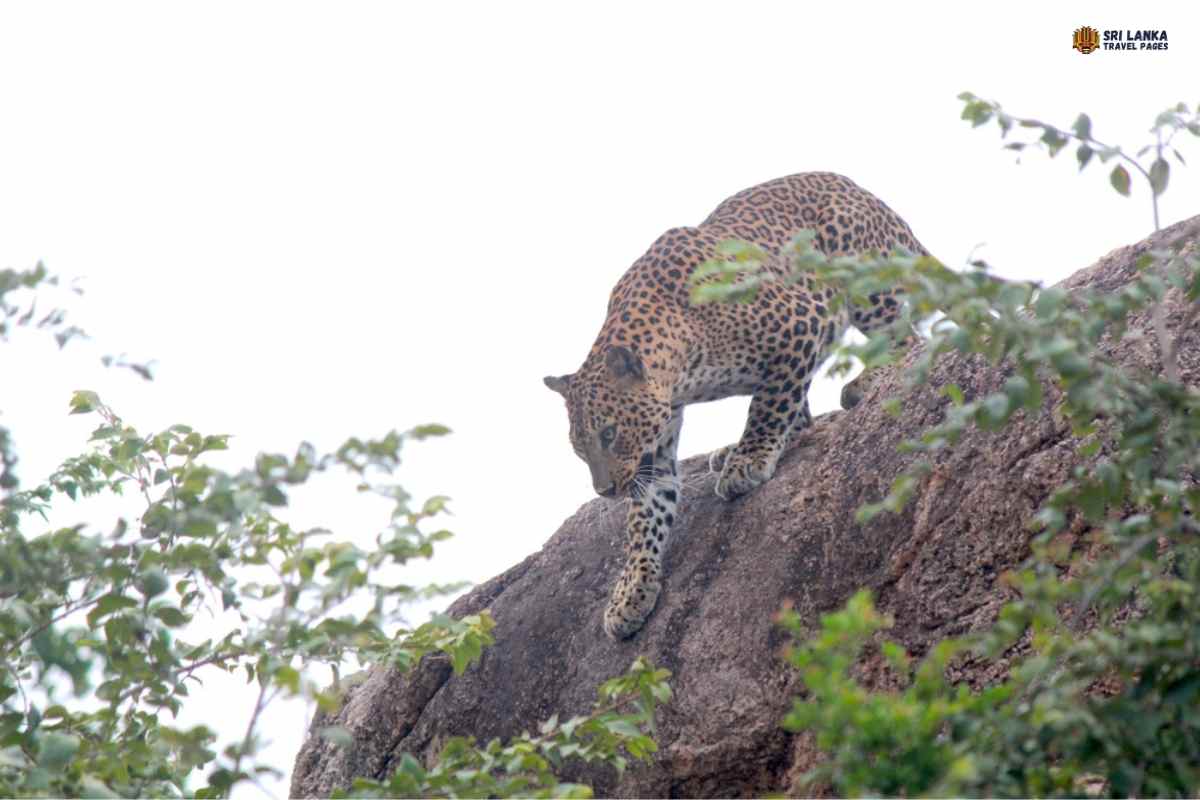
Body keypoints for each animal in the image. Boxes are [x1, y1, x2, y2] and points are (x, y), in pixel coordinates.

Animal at [544, 172, 926, 642]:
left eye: (610, 433)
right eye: (581, 449)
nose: (605, 490)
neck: (681, 364)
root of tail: (862, 191)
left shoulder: (803, 320)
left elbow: (768, 406)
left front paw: (749, 462)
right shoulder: (656, 445)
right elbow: (646, 517)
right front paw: (631, 591)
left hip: (862, 274)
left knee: (908, 340)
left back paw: (868, 381)